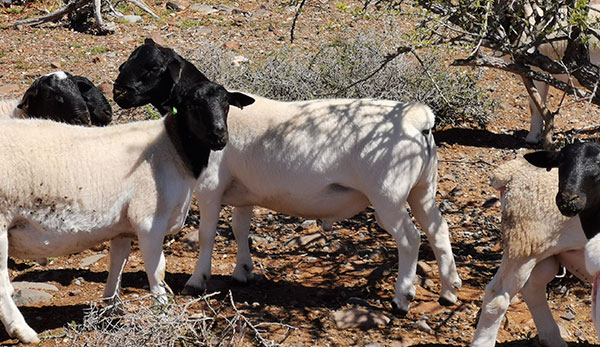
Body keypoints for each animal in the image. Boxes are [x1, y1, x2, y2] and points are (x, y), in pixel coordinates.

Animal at [0, 81, 253, 346]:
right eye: (192, 104)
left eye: (226, 103)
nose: (220, 136)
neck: (172, 150)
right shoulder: (149, 221)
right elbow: (157, 269)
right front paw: (163, 311)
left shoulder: (123, 228)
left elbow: (118, 263)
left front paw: (111, 307)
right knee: (2, 287)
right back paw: (23, 331)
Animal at [115, 38, 462, 316]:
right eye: (128, 61)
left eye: (153, 67)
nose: (119, 93)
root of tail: (418, 119)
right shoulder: (244, 193)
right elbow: (240, 228)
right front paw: (243, 271)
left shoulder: (210, 188)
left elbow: (207, 235)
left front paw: (197, 280)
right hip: (422, 188)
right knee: (438, 230)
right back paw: (449, 292)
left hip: (388, 195)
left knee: (410, 239)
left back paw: (402, 299)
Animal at [474, 158, 592, 347]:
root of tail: (513, 170)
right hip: (524, 244)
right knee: (497, 297)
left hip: (544, 253)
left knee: (533, 288)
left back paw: (552, 338)